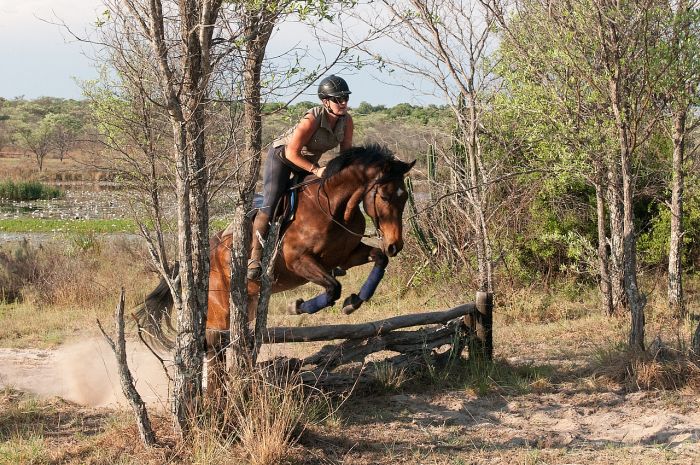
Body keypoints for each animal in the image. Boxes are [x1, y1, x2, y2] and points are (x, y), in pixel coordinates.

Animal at [134, 145, 412, 380]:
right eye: (384, 197)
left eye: (405, 197)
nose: (395, 245)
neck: (334, 208)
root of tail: (204, 254)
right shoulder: (299, 261)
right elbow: (333, 288)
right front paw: (296, 306)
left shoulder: (347, 254)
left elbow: (378, 259)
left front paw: (354, 301)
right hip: (219, 310)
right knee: (215, 346)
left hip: (246, 304)